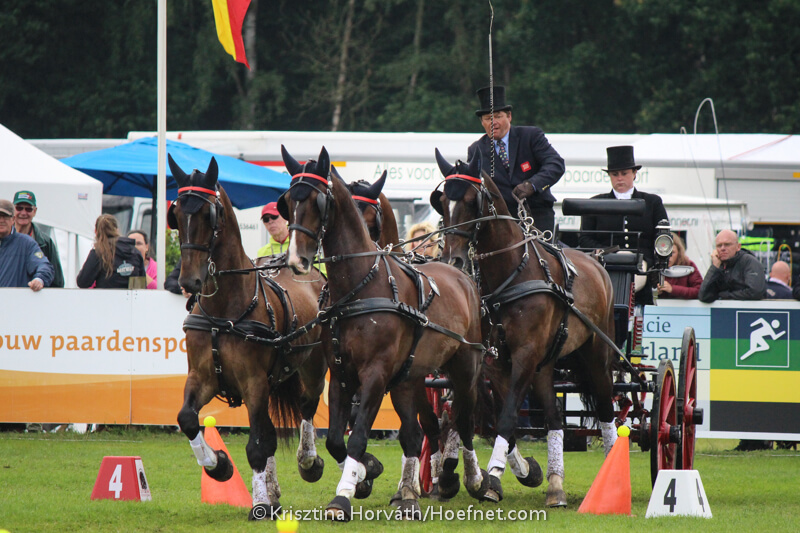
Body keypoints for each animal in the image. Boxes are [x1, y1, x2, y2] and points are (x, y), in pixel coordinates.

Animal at [168, 155, 328, 520]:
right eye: (177, 214)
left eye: (208, 215)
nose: (188, 281)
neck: (225, 310)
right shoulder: (202, 377)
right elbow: (187, 418)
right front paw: (218, 465)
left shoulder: (254, 382)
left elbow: (257, 446)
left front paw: (260, 503)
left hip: (313, 367)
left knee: (307, 406)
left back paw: (309, 462)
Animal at [277, 145, 491, 521]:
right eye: (288, 201)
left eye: (318, 202)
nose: (296, 260)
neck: (360, 287)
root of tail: (461, 274)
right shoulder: (342, 374)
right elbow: (336, 439)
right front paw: (365, 474)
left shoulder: (375, 374)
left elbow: (359, 434)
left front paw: (343, 495)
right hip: (410, 379)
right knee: (417, 432)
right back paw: (409, 492)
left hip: (465, 368)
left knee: (463, 422)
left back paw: (474, 480)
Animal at [430, 149, 618, 507]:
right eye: (442, 201)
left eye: (472, 202)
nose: (453, 262)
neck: (511, 275)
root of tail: (598, 263)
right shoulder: (497, 363)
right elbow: (500, 420)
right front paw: (524, 471)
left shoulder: (524, 356)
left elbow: (504, 419)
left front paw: (492, 478)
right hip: (545, 365)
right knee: (555, 418)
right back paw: (556, 486)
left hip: (597, 355)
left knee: (605, 408)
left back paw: (612, 473)